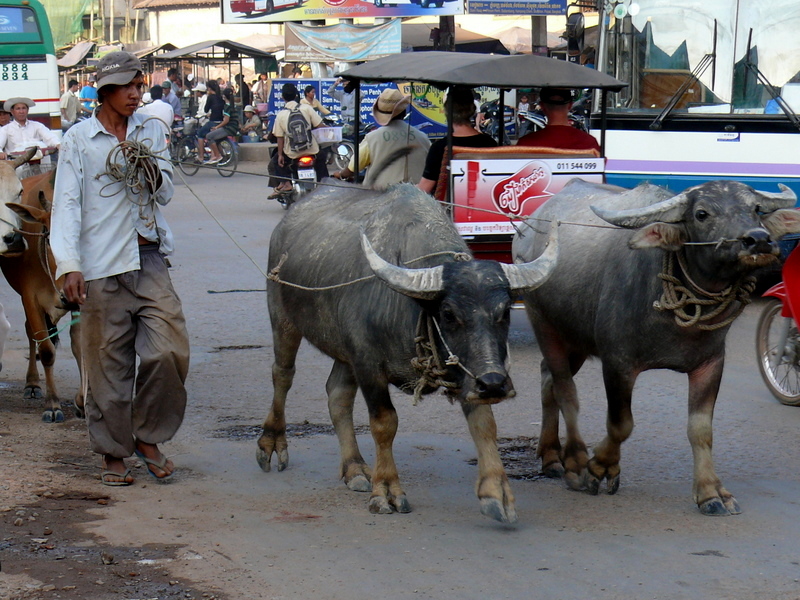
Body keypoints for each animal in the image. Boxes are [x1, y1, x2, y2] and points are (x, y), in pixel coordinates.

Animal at [2, 168, 83, 422]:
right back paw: (32, 384)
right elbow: (46, 351)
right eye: (49, 240)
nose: (66, 297)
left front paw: (82, 401)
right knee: (31, 333)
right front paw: (53, 404)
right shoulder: (30, 298)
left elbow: (78, 344)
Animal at [260, 180, 556, 524]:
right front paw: (386, 490)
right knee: (282, 375)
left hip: (345, 352)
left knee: (337, 395)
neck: (409, 308)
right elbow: (384, 423)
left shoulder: (467, 373)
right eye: (448, 314)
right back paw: (272, 443)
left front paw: (496, 492)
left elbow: (484, 424)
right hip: (282, 318)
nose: (494, 384)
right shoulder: (368, 363)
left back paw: (354, 468)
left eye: (505, 311)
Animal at [512, 178, 800, 516]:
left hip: (576, 337)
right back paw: (572, 463)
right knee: (564, 388)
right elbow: (621, 424)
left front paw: (711, 492)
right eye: (702, 213)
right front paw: (600, 467)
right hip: (544, 323)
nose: (758, 240)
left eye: (755, 208)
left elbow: (701, 430)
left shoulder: (710, 363)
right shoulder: (617, 362)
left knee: (547, 378)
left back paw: (550, 455)